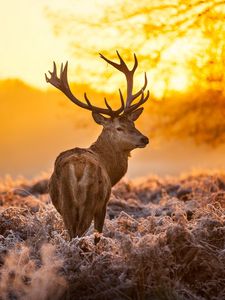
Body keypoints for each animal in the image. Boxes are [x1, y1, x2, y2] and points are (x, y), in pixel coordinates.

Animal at [45, 51, 150, 244]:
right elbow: (98, 235)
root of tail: (78, 168)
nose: (144, 139)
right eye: (119, 128)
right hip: (90, 201)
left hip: (66, 205)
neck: (110, 169)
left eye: (133, 123)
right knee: (79, 235)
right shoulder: (104, 204)